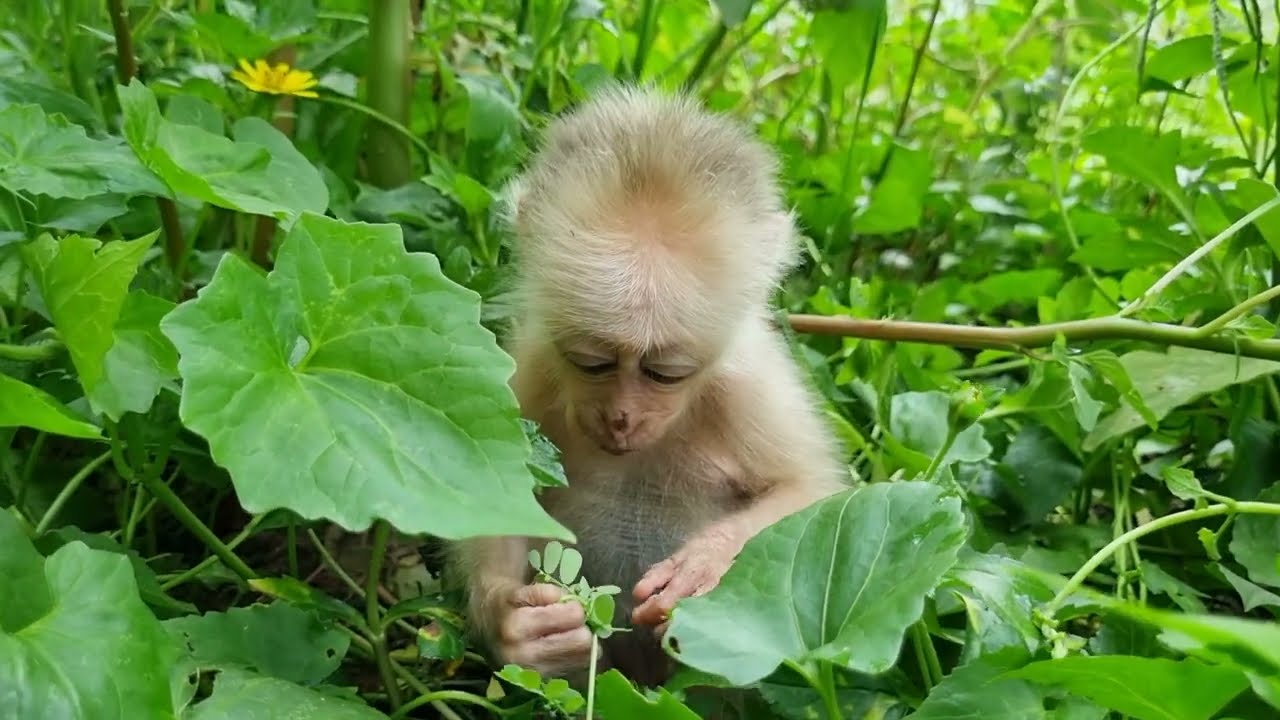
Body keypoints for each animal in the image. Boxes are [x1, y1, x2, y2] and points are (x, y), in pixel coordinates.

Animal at [451, 85, 847, 687]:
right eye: (591, 363)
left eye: (666, 373)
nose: (622, 417)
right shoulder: (531, 364)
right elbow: (488, 483)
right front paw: (515, 627)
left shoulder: (751, 384)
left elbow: (818, 496)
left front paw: (704, 566)